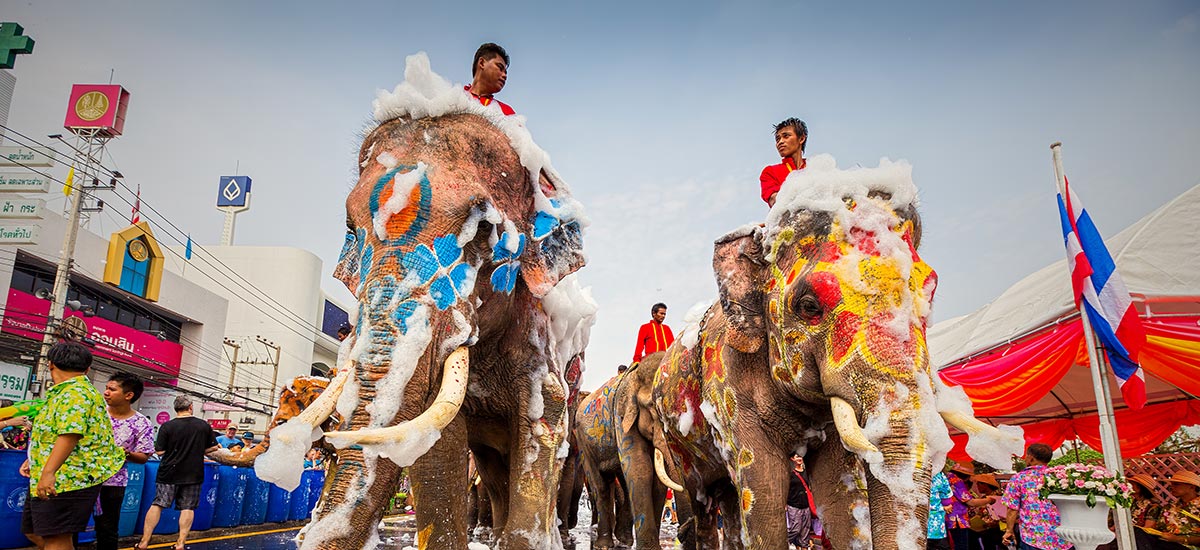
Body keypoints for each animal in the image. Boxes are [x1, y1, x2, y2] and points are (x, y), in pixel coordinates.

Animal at [253, 54, 595, 550]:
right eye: (351, 230)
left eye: (485, 229)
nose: (305, 530)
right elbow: (440, 444)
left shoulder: (539, 334)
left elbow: (542, 424)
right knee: (492, 469)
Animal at [652, 156, 1017, 550]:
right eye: (809, 305)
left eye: (930, 292)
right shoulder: (729, 389)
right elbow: (765, 493)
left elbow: (840, 493)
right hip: (677, 443)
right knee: (704, 498)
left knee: (728, 501)